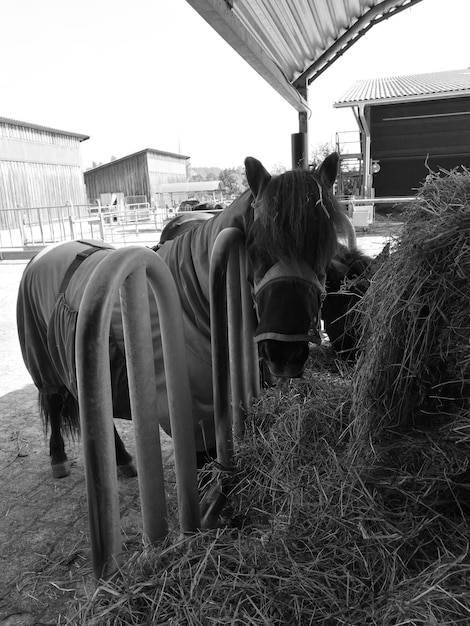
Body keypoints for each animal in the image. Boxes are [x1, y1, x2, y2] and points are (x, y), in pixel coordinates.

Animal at [16, 154, 350, 476]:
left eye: (326, 245)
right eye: (255, 246)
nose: (285, 354)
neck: (193, 303)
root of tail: (42, 255)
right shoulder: (193, 415)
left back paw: (123, 461)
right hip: (43, 362)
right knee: (56, 402)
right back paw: (61, 458)